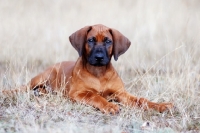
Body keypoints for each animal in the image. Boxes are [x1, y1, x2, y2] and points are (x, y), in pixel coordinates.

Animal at [2, 24, 173, 114]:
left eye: (108, 41)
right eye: (90, 40)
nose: (99, 57)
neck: (99, 73)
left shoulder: (120, 93)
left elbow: (141, 100)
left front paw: (160, 105)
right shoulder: (78, 93)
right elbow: (95, 96)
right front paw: (109, 105)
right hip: (42, 77)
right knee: (24, 88)